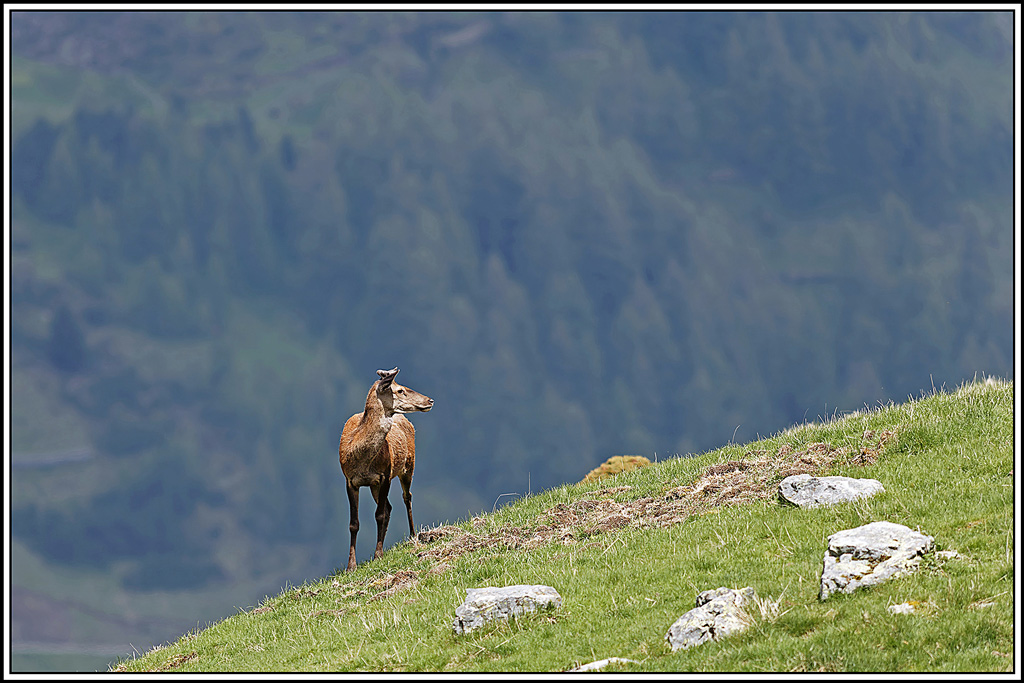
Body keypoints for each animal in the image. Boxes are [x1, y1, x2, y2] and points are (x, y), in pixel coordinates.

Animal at [338, 367, 433, 572]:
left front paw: (378, 555)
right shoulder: (350, 480)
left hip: (408, 465)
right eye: (400, 390)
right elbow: (353, 524)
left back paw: (413, 535)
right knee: (389, 507)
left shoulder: (385, 476)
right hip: (376, 485)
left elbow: (379, 515)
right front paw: (351, 566)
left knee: (406, 497)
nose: (430, 400)